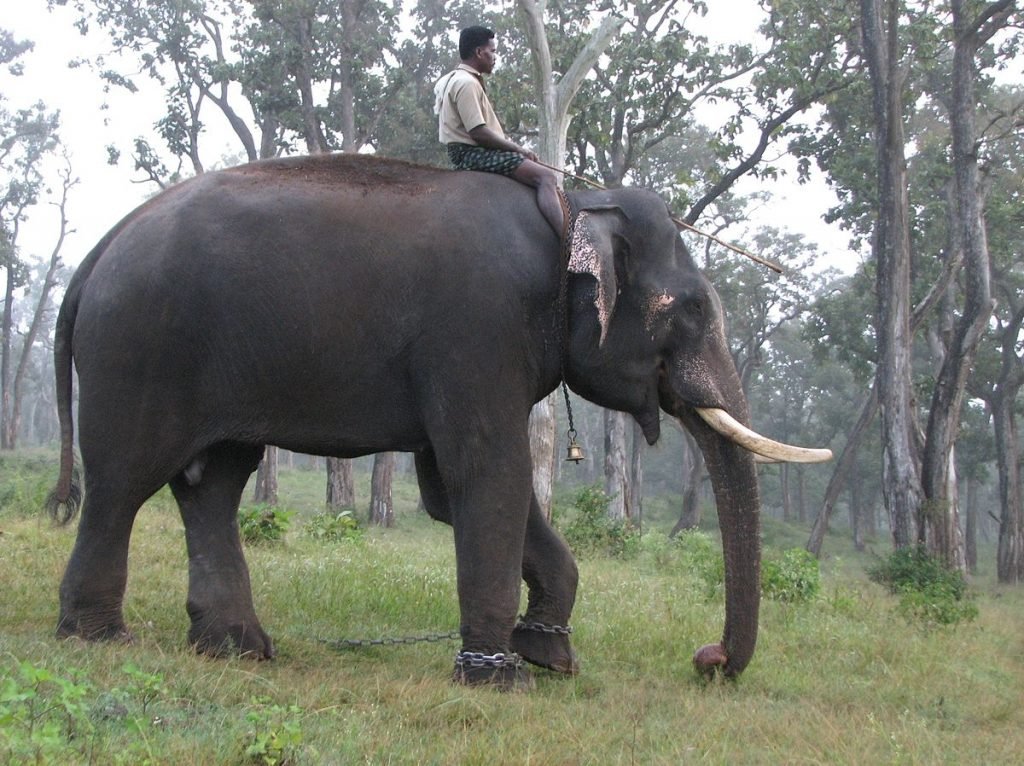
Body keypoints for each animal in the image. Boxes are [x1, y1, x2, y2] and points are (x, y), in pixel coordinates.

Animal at [48, 153, 831, 688]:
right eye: (693, 309)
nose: (709, 658)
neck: (573, 207)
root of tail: (93, 255)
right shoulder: (478, 327)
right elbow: (489, 473)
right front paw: (498, 679)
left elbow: (449, 490)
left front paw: (548, 656)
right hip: (141, 349)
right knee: (122, 482)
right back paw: (99, 639)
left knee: (212, 483)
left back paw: (238, 648)